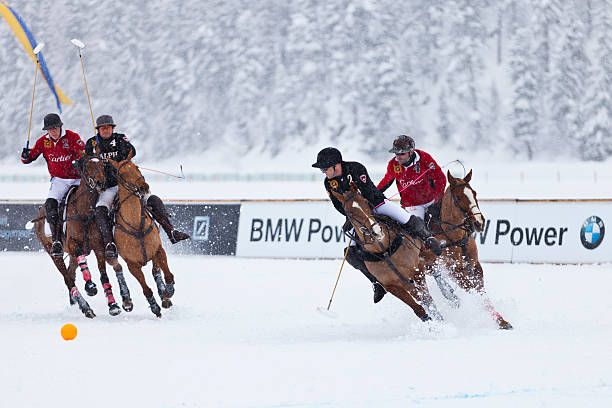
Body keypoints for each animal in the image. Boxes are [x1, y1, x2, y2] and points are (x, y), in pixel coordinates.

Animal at [32, 155, 134, 318]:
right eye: (87, 167)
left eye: (102, 165)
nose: (100, 182)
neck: (84, 210)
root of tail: (39, 213)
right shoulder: (73, 243)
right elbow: (82, 260)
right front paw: (90, 286)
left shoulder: (98, 246)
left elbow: (104, 275)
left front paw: (113, 305)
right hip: (52, 251)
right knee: (68, 278)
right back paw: (86, 308)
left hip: (71, 255)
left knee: (71, 273)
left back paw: (77, 304)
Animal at [100, 158, 175, 318]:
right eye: (121, 174)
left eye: (137, 167)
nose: (144, 187)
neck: (136, 225)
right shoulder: (132, 264)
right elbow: (146, 289)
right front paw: (155, 308)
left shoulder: (158, 250)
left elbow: (168, 275)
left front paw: (168, 292)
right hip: (109, 254)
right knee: (117, 267)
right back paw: (127, 301)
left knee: (155, 271)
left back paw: (164, 296)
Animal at [330, 182, 440, 322]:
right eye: (349, 214)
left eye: (366, 202)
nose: (377, 231)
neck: (384, 250)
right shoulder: (392, 286)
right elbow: (419, 309)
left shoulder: (417, 272)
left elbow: (428, 300)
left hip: (427, 257)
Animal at [428, 171, 512, 330]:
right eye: (459, 197)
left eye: (474, 193)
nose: (479, 222)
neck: (457, 238)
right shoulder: (457, 272)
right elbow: (475, 293)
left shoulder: (475, 266)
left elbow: (481, 293)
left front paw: (501, 321)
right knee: (438, 278)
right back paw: (452, 296)